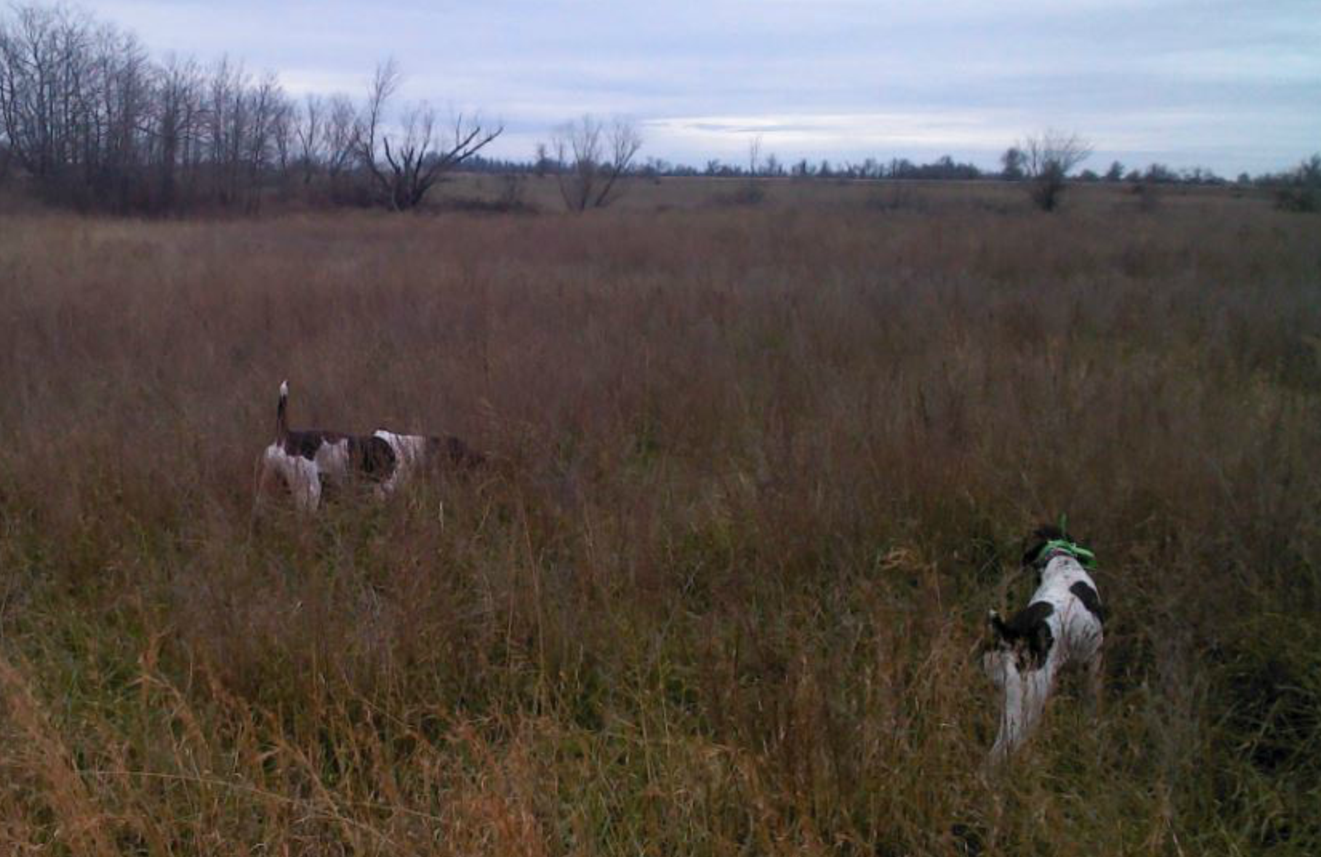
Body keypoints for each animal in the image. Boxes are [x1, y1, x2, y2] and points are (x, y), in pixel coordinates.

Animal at [252, 380, 480, 512]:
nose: (482, 461)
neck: (410, 450)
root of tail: (284, 436)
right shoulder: (382, 494)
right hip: (309, 494)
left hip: (268, 492)